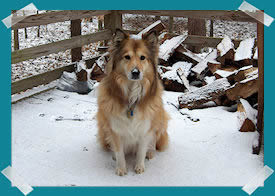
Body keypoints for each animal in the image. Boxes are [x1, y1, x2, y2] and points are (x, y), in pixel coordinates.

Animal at [97, 28, 170, 175]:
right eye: (127, 57)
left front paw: (139, 167)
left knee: (153, 141)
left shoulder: (145, 127)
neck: (131, 94)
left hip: (160, 118)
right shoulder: (114, 128)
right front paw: (121, 168)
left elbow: (141, 150)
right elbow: (119, 151)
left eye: (142, 57)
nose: (136, 72)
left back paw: (150, 152)